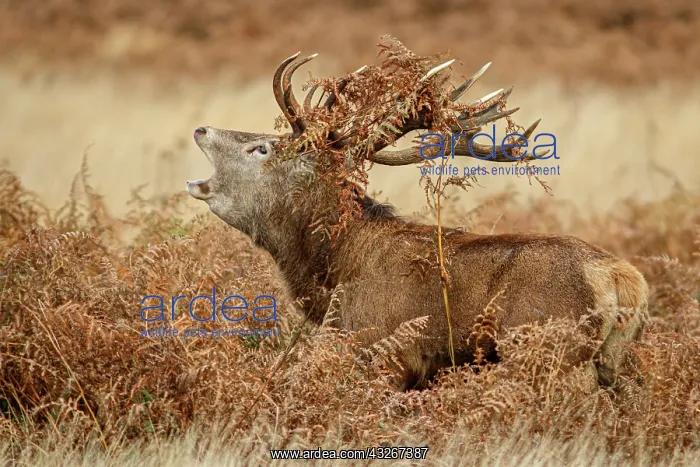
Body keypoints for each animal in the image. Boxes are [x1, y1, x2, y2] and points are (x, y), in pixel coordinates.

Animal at [186, 45, 649, 391]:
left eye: (262, 148)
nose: (201, 129)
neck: (333, 279)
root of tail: (623, 279)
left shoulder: (386, 352)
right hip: (614, 364)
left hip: (547, 351)